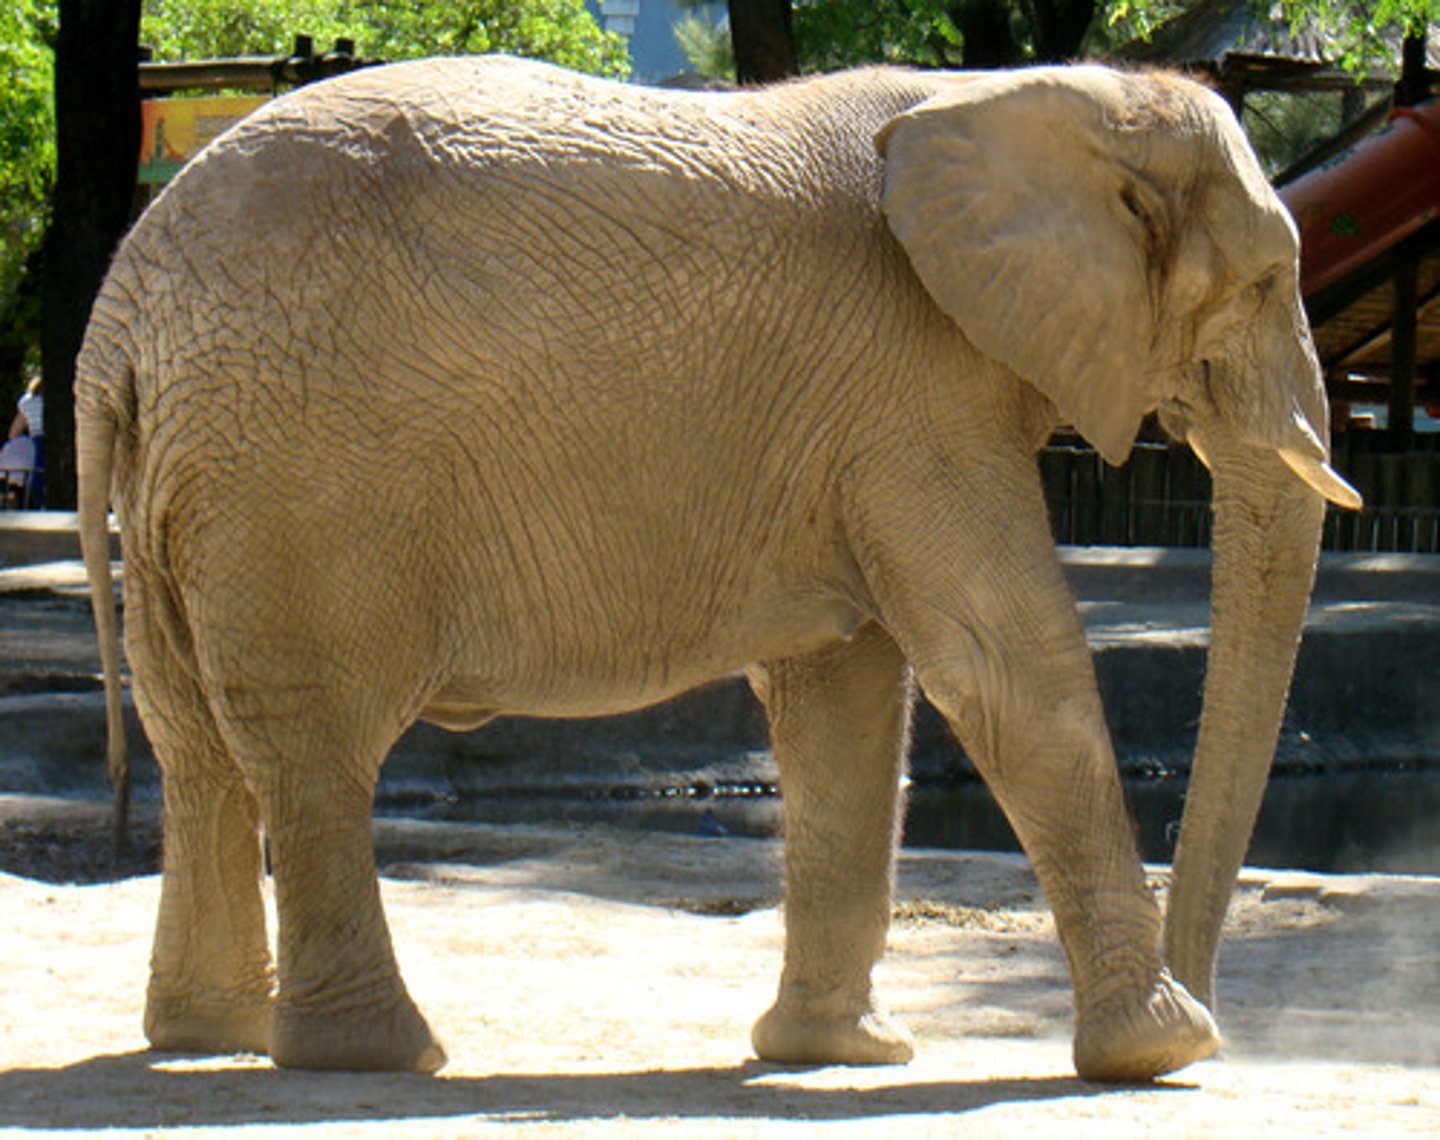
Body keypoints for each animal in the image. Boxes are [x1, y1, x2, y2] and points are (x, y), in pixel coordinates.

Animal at [76, 56, 1360, 1081]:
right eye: (1262, 281)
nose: (1212, 1000)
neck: (1033, 93)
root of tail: (115, 321)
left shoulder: (864, 419)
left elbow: (849, 694)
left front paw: (841, 1055)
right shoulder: (912, 385)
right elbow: (1006, 665)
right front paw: (1163, 1051)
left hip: (189, 482)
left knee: (197, 744)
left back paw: (208, 1036)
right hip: (294, 482)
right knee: (315, 747)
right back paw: (378, 1056)